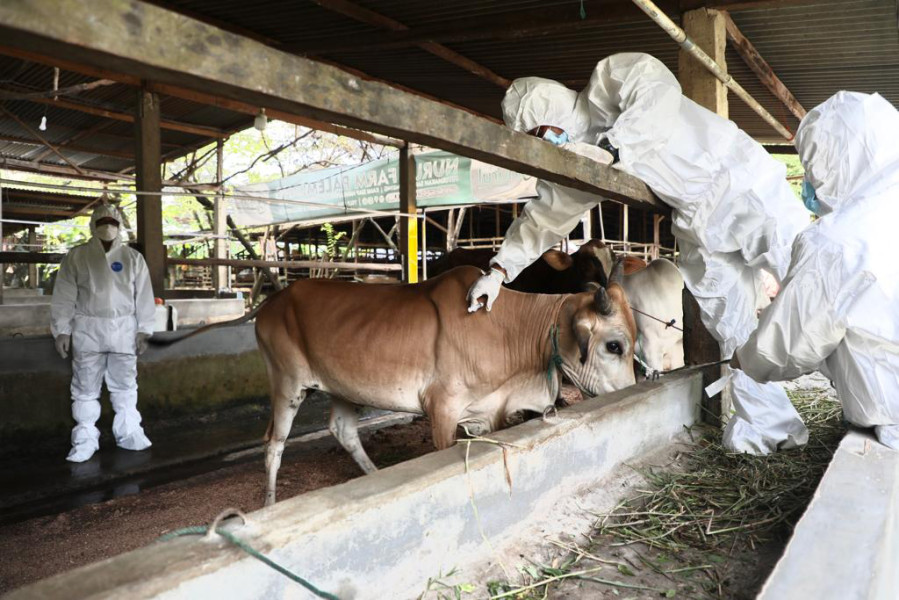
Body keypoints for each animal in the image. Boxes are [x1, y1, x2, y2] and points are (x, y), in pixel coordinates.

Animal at [253, 264, 632, 506]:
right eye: (614, 346)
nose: (631, 390)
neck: (512, 329)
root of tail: (271, 302)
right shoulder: (443, 409)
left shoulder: (489, 412)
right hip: (287, 384)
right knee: (274, 443)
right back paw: (269, 503)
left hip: (343, 387)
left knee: (343, 431)